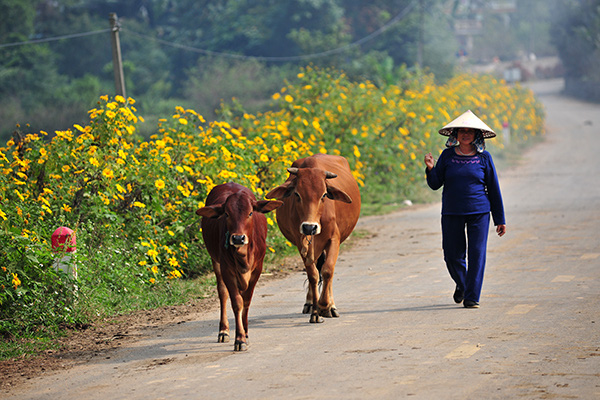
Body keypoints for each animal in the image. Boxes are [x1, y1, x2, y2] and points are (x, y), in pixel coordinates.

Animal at [196, 182, 282, 350]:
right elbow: (237, 302)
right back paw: (223, 330)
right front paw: (240, 338)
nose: (237, 238)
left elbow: (246, 301)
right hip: (215, 262)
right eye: (227, 214)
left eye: (250, 213)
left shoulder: (257, 269)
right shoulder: (226, 270)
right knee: (222, 293)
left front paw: (246, 333)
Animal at [268, 155, 360, 324]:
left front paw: (326, 306)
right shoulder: (301, 243)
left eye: (324, 195)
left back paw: (331, 305)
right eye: (297, 194)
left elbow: (328, 270)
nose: (309, 227)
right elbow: (313, 274)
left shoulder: (334, 240)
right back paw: (310, 303)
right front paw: (316, 311)